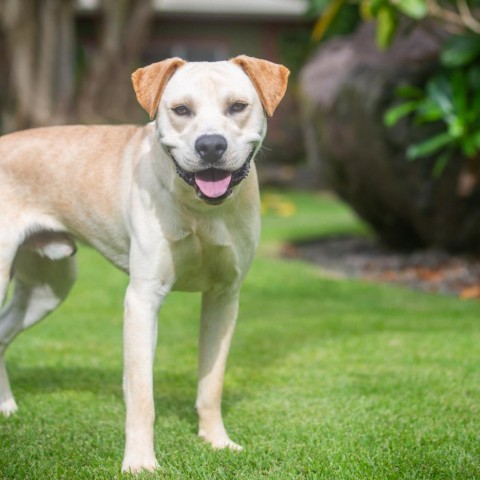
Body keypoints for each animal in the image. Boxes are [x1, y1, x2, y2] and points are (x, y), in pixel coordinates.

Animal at [0, 57, 288, 472]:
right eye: (181, 110)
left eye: (237, 106)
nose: (211, 145)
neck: (200, 209)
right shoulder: (142, 299)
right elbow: (140, 394)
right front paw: (139, 462)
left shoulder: (224, 296)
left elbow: (212, 381)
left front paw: (216, 441)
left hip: (47, 287)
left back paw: (6, 406)